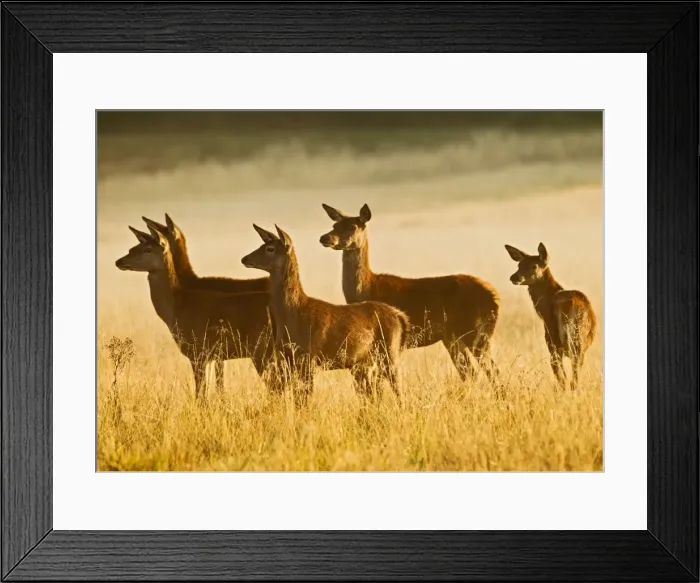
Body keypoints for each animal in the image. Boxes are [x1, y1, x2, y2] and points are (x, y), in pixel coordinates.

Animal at [241, 224, 410, 403]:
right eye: (262, 245)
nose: (244, 259)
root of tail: (400, 316)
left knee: (399, 389)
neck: (293, 314)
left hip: (389, 352)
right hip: (365, 362)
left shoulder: (310, 357)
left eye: (270, 249)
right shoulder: (287, 359)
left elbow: (305, 400)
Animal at [319, 203, 501, 385]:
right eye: (334, 225)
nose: (325, 238)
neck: (367, 289)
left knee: (492, 370)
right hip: (454, 336)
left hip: (477, 331)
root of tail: (495, 296)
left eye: (352, 227)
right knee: (471, 371)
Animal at [504, 242, 597, 390]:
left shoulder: (551, 341)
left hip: (556, 341)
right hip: (579, 345)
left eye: (534, 266)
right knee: (574, 380)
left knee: (563, 378)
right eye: (519, 265)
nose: (514, 277)